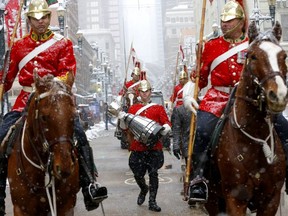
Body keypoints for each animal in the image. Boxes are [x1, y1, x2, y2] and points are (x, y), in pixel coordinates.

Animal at [207, 21, 288, 215]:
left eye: (284, 56)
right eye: (253, 56)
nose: (279, 96)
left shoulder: (271, 200)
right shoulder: (235, 199)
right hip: (212, 198)